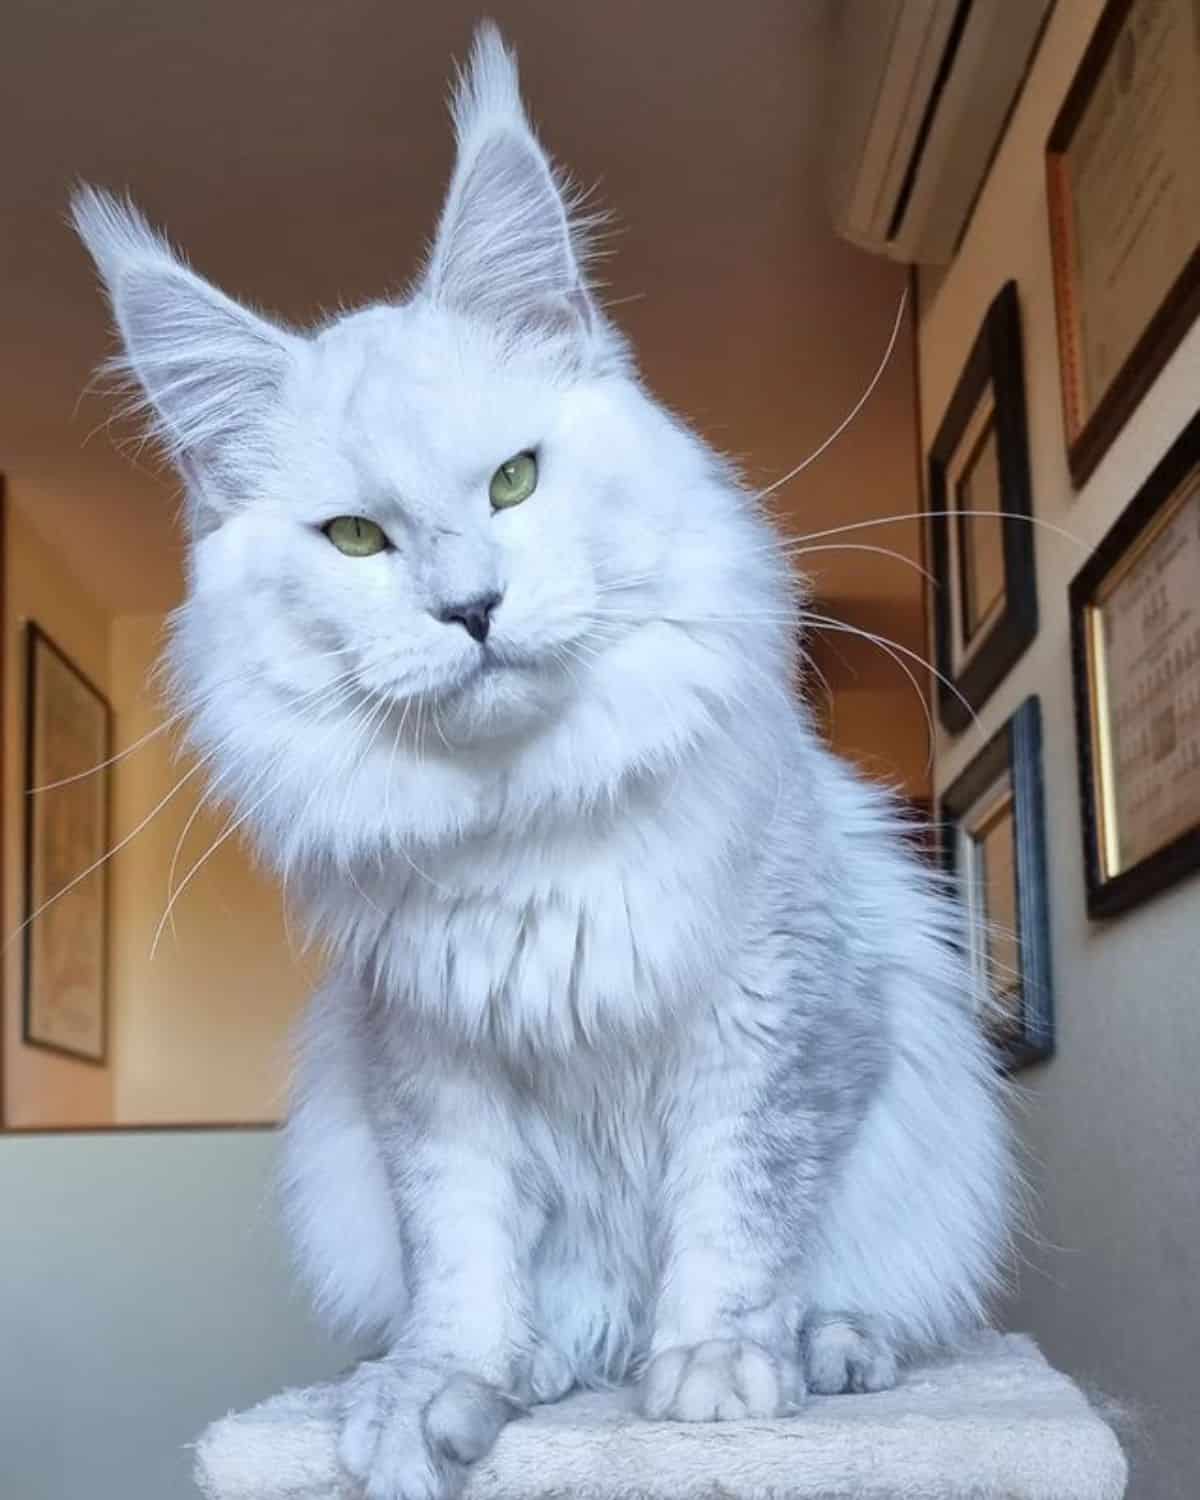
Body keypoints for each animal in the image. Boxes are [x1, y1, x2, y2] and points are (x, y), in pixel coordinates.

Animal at [75, 23, 1014, 1500]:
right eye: (357, 540)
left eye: (515, 482)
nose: (471, 609)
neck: (530, 816)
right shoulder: (432, 1074)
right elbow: (464, 1265)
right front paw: (440, 1398)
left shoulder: (777, 1029)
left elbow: (738, 1220)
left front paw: (716, 1381)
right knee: (546, 1317)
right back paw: (540, 1372)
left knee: (868, 1294)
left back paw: (824, 1354)